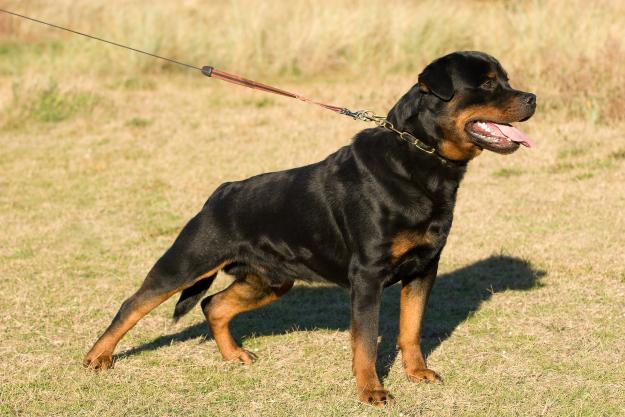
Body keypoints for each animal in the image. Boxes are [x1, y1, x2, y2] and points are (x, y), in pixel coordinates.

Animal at [84, 50, 536, 404]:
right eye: (488, 84)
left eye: (507, 80)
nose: (532, 97)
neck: (420, 161)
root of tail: (221, 192)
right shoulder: (367, 276)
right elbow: (365, 341)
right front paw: (371, 391)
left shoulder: (424, 268)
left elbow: (411, 329)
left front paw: (417, 373)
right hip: (188, 261)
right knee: (134, 304)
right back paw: (97, 358)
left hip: (270, 279)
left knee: (214, 305)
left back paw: (234, 355)